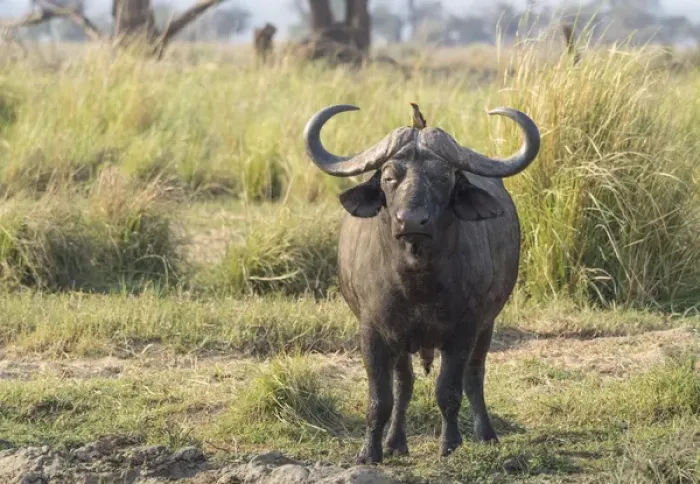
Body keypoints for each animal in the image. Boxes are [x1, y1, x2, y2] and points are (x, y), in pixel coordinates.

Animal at [303, 104, 540, 463]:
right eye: (389, 176)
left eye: (443, 176)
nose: (412, 221)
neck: (417, 282)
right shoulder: (373, 332)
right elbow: (381, 398)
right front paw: (370, 451)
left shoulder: (464, 330)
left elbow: (449, 390)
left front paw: (450, 443)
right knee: (405, 384)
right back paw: (395, 441)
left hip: (486, 326)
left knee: (474, 375)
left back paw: (486, 434)